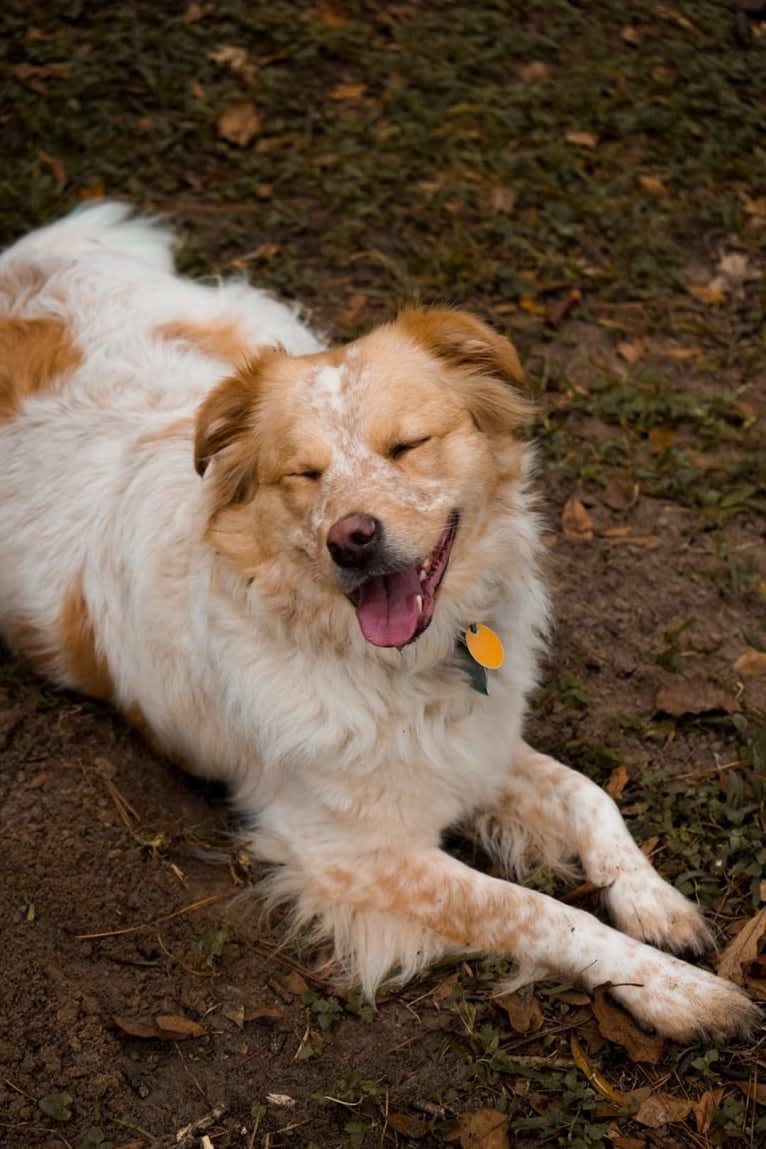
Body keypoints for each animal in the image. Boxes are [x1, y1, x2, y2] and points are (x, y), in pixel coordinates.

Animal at [0, 204, 757, 1043]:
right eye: (304, 474)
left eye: (408, 445)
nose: (352, 537)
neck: (396, 667)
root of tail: (34, 255)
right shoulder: (351, 851)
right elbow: (542, 913)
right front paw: (675, 989)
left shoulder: (474, 745)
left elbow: (589, 793)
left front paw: (656, 902)